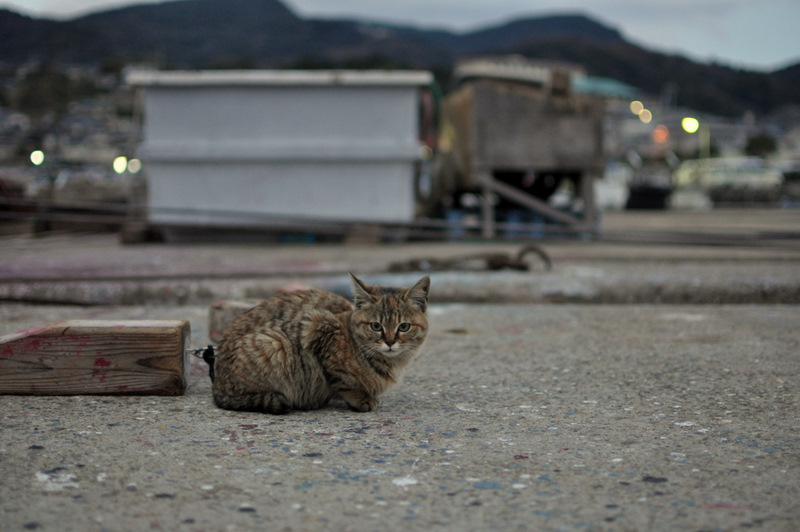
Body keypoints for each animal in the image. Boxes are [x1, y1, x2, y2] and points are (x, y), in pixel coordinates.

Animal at [209, 274, 428, 416]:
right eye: (375, 326)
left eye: (404, 326)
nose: (390, 342)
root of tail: (217, 387)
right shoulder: (318, 328)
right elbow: (344, 381)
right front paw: (361, 399)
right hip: (275, 343)